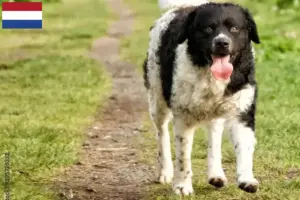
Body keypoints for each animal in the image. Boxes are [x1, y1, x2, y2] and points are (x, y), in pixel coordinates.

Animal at [143, 0, 260, 196]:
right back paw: (165, 171)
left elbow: (244, 148)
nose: (222, 43)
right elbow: (183, 157)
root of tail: (183, 6)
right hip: (157, 99)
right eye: (207, 28)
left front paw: (247, 179)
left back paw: (216, 174)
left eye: (234, 28)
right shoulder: (183, 117)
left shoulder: (242, 111)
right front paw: (182, 185)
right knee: (162, 134)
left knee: (215, 134)